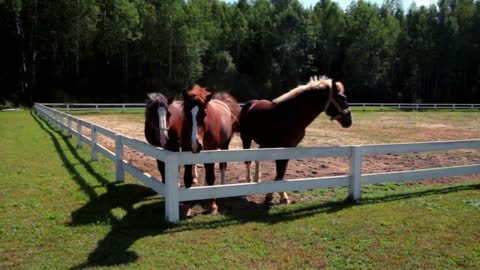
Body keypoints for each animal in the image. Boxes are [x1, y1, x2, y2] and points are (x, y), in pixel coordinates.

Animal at [181, 85, 240, 214]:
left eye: (204, 114)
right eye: (187, 114)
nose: (195, 144)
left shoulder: (211, 150)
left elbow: (211, 177)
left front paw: (213, 206)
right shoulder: (186, 151)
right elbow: (187, 177)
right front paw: (186, 207)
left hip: (225, 146)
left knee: (222, 165)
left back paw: (222, 185)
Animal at [240, 76, 352, 205]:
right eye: (342, 98)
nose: (349, 121)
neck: (292, 114)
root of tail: (249, 104)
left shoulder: (288, 148)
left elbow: (280, 173)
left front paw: (275, 196)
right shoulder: (283, 148)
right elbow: (280, 173)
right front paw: (278, 197)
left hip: (266, 143)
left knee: (257, 158)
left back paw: (257, 179)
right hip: (246, 138)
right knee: (248, 161)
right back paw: (249, 182)